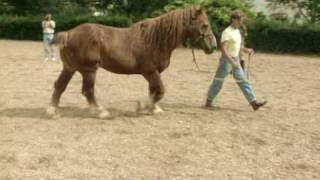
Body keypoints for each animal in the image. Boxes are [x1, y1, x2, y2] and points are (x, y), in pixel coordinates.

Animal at [47, 5, 218, 118]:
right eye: (205, 25)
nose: (213, 46)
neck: (155, 40)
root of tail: (69, 33)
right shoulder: (150, 72)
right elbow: (160, 90)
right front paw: (143, 106)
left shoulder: (153, 73)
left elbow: (153, 90)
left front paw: (153, 108)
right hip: (89, 70)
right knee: (88, 91)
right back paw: (101, 112)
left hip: (70, 68)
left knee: (60, 85)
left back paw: (52, 110)